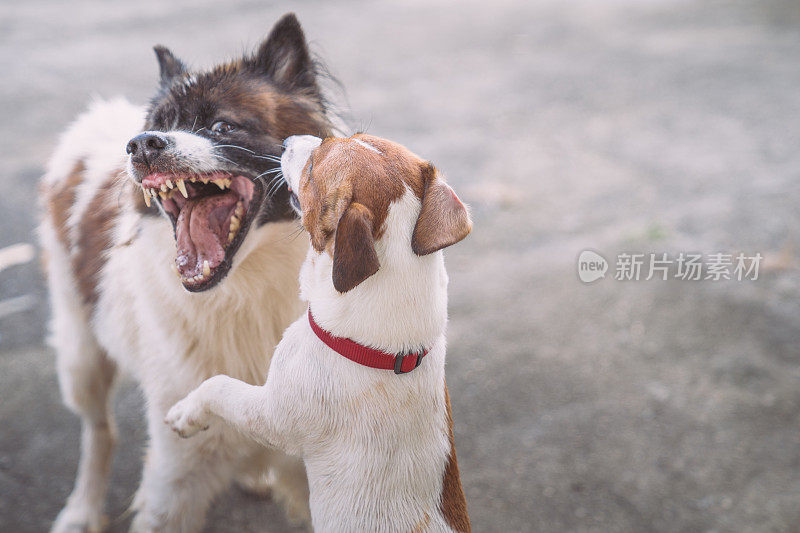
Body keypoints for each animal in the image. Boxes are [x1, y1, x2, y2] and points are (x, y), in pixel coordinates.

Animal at [36, 13, 332, 532]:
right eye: (157, 126)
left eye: (222, 125)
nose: (140, 145)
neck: (242, 293)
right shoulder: (175, 476)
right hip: (80, 353)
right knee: (98, 431)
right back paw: (81, 510)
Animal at [166, 132, 472, 528]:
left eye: (312, 168)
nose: (288, 140)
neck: (388, 356)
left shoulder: (270, 416)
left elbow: (218, 385)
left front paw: (186, 414)